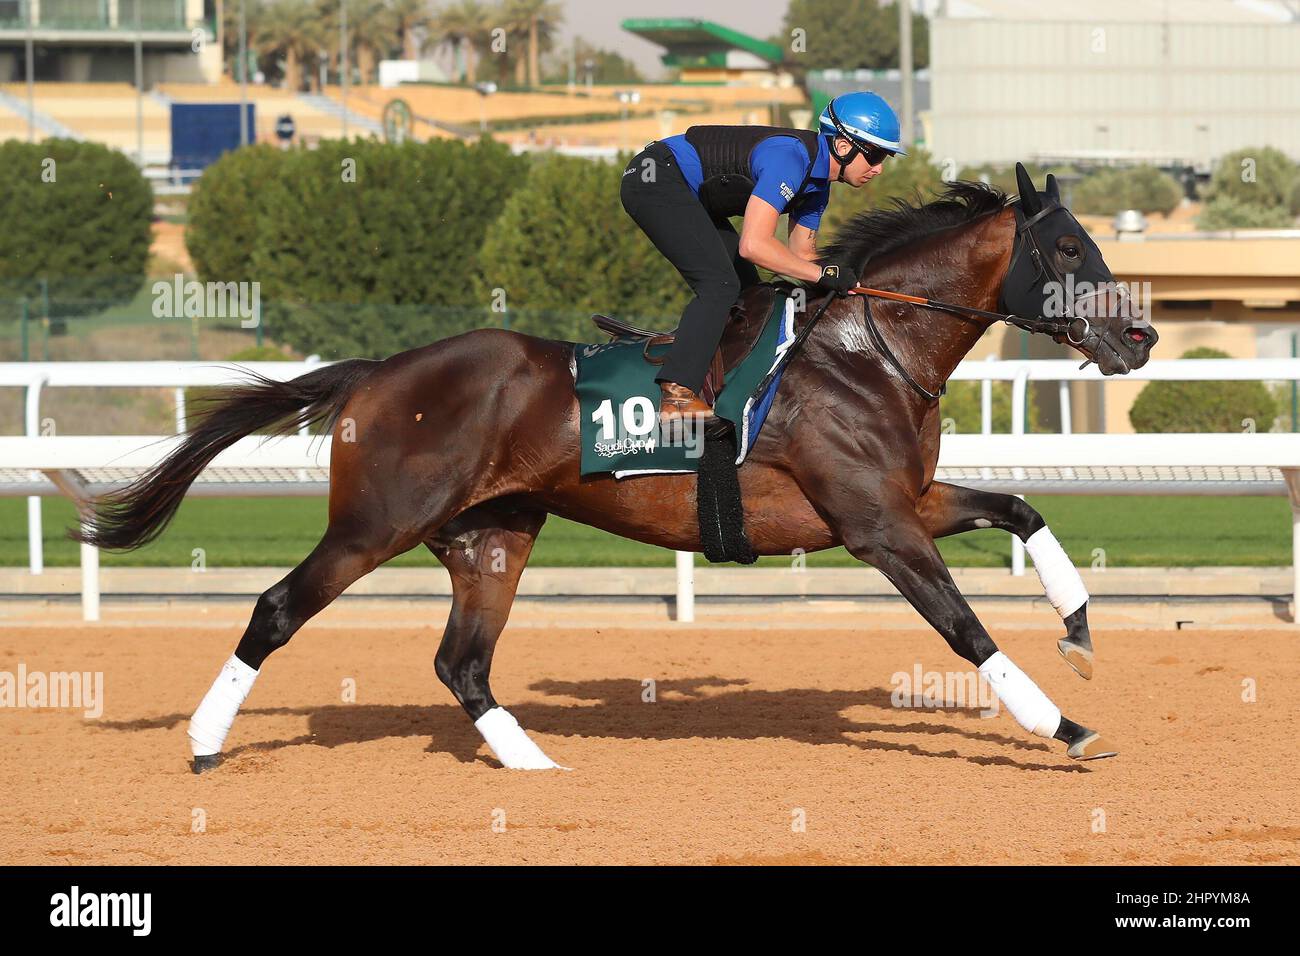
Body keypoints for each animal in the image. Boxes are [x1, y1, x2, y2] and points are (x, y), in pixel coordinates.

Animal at [78, 166, 1159, 770]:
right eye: (1069, 247)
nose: (1140, 335)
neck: (866, 350)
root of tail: (379, 371)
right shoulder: (875, 526)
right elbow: (966, 628)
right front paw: (1066, 727)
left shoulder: (904, 501)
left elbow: (1019, 508)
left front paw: (1078, 632)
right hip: (376, 523)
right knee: (276, 611)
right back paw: (205, 745)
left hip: (494, 532)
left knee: (462, 662)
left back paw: (535, 765)